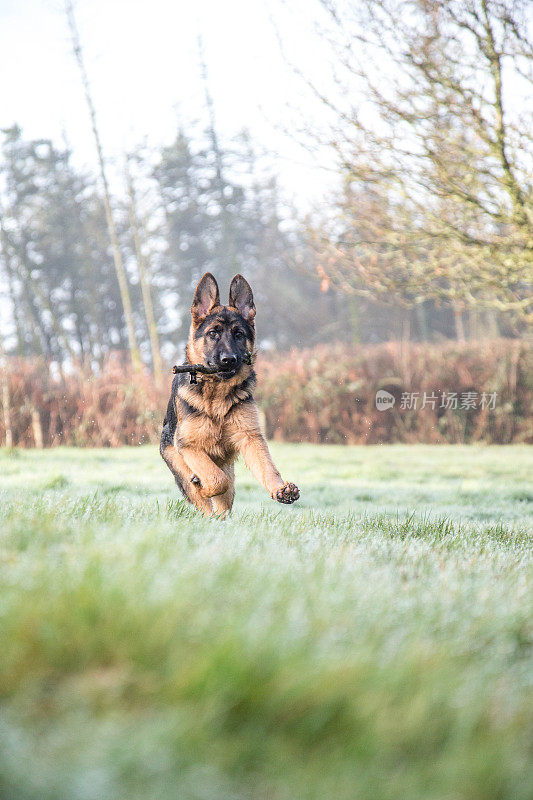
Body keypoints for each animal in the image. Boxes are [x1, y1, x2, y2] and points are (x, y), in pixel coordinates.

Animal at [159, 272, 300, 516]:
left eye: (239, 334)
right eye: (213, 333)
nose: (228, 360)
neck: (216, 395)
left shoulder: (250, 437)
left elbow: (267, 467)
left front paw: (280, 489)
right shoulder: (189, 446)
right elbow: (216, 480)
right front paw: (203, 486)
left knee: (224, 504)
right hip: (178, 462)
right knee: (205, 501)